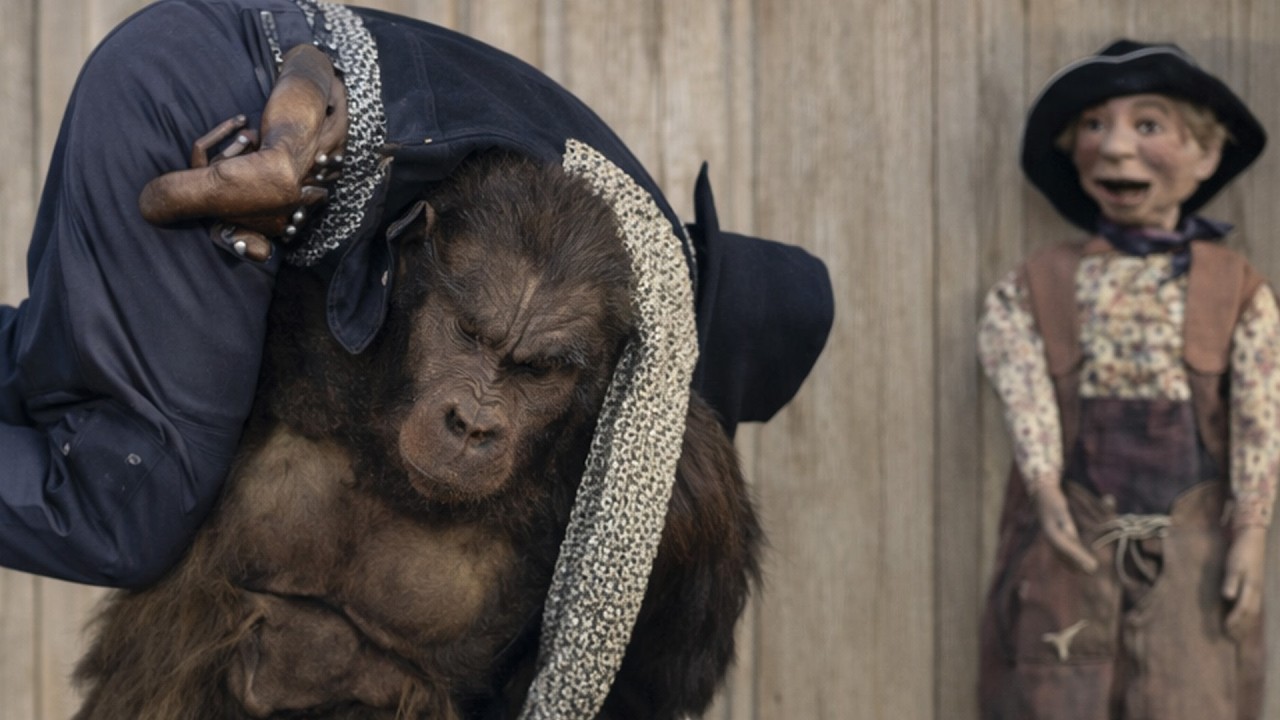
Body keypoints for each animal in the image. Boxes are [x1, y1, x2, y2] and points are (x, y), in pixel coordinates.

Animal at [71, 152, 762, 720]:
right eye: (469, 334)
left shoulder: (690, 504)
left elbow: (649, 688)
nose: (473, 422)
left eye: (537, 370)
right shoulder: (296, 328)